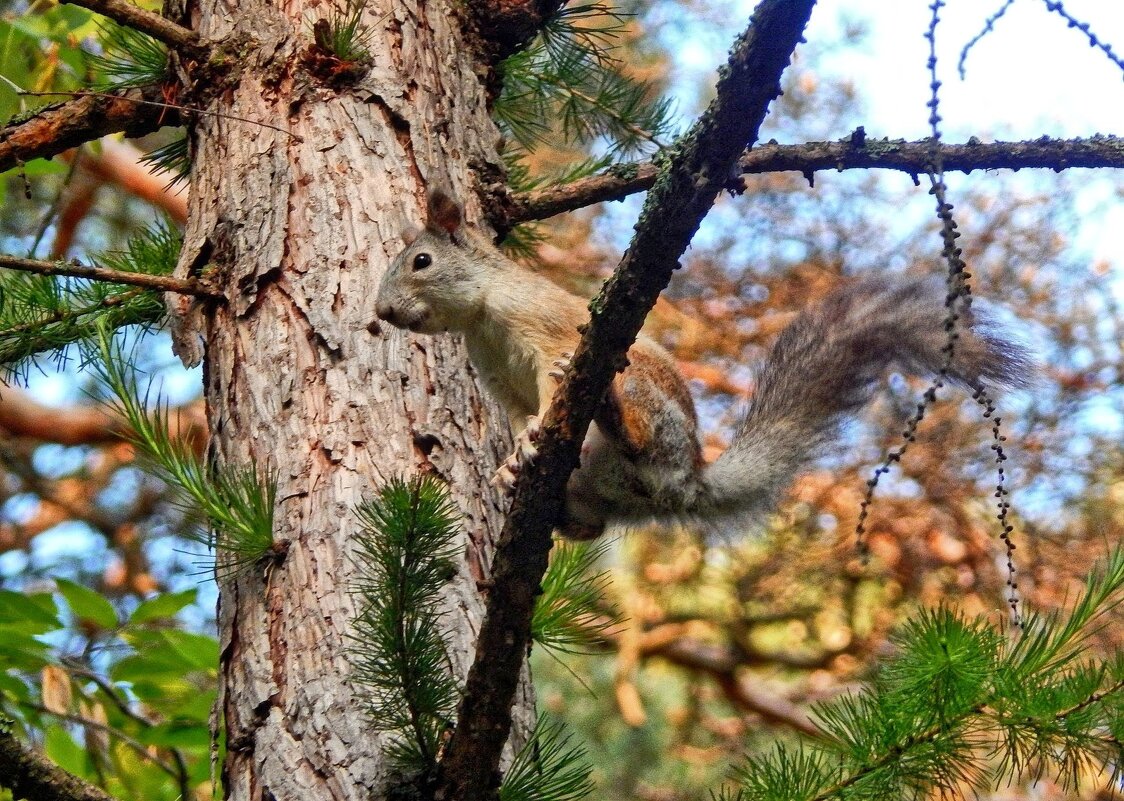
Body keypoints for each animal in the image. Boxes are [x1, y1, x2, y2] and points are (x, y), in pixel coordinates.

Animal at [373, 188, 1029, 541]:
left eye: (421, 261)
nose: (381, 312)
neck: (482, 317)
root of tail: (689, 479)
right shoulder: (499, 383)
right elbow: (514, 417)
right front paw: (511, 463)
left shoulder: (546, 334)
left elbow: (546, 389)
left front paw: (534, 436)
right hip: (603, 493)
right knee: (593, 525)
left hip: (645, 401)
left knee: (638, 438)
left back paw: (617, 419)